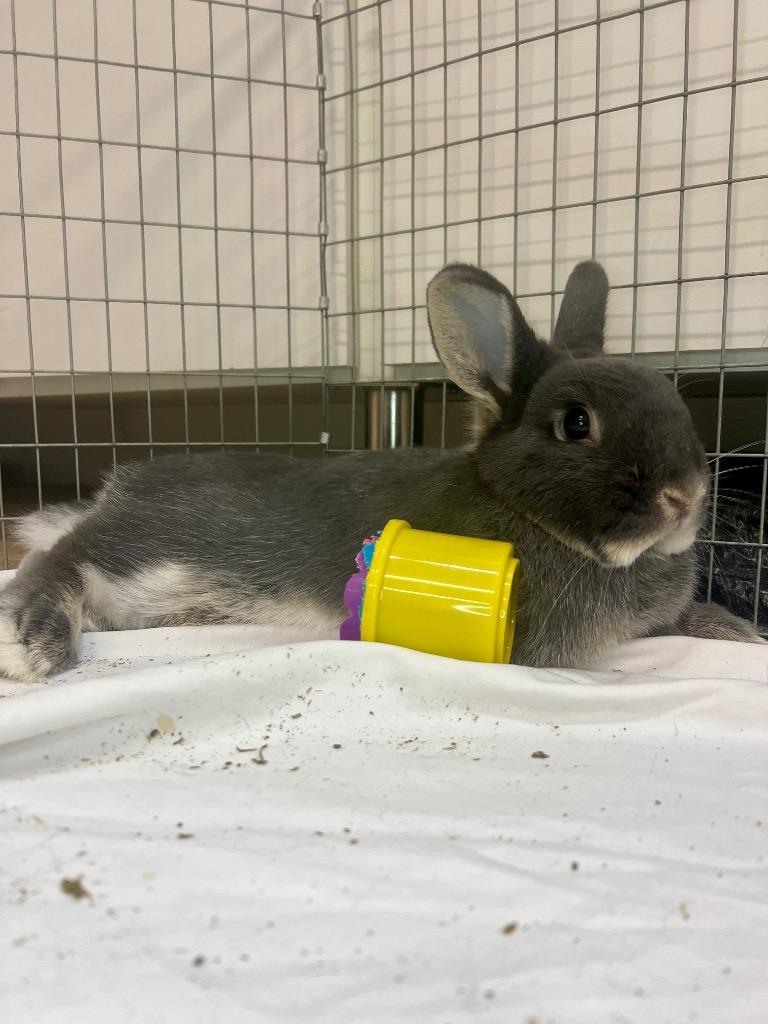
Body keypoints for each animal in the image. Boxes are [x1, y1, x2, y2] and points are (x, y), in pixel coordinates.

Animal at [0, 260, 762, 682]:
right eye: (577, 424)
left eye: (670, 393)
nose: (685, 496)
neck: (520, 506)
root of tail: (111, 494)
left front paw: (738, 632)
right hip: (147, 560)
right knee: (54, 563)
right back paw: (31, 644)